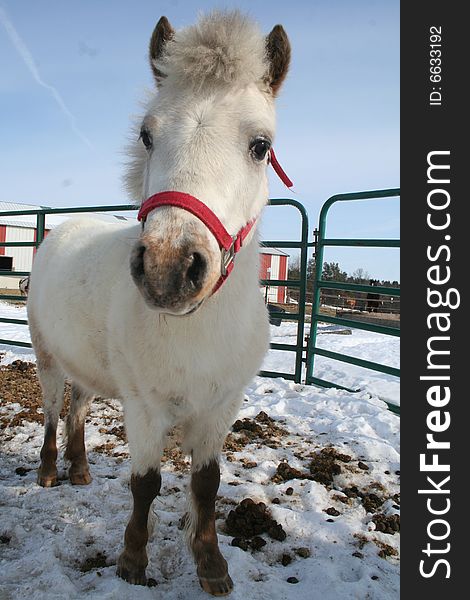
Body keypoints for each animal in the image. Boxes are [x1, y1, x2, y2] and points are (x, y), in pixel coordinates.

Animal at [27, 11, 290, 596]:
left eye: (260, 145)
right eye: (147, 134)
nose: (169, 269)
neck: (195, 330)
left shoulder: (220, 409)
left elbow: (207, 483)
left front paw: (211, 565)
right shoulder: (145, 409)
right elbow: (145, 483)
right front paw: (132, 562)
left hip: (90, 370)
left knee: (78, 409)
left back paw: (80, 470)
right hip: (48, 359)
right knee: (54, 411)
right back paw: (51, 471)